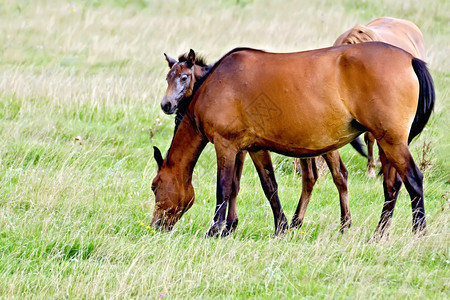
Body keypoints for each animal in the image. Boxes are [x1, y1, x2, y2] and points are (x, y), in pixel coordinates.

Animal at [161, 50, 352, 236]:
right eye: (167, 78)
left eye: (184, 77)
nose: (166, 105)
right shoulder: (248, 148)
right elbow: (250, 185)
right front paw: (232, 225)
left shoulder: (236, 147)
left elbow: (231, 185)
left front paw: (226, 227)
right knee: (311, 178)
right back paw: (297, 222)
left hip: (325, 147)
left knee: (338, 175)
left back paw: (342, 224)